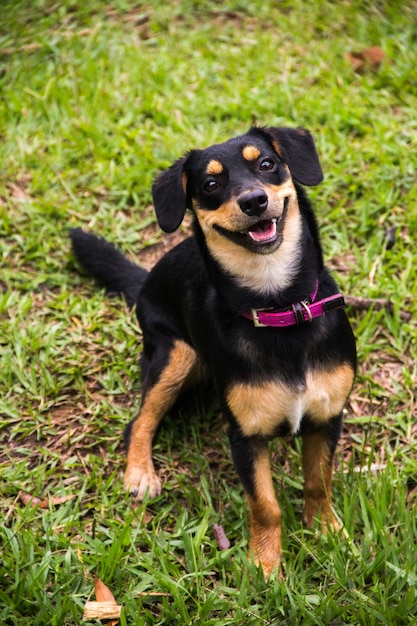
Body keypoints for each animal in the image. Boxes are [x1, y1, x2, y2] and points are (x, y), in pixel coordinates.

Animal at [70, 125, 356, 576]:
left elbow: (319, 482)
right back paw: (139, 473)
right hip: (175, 355)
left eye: (267, 164)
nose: (253, 200)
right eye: (209, 185)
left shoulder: (327, 416)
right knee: (140, 420)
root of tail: (146, 278)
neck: (278, 306)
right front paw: (266, 566)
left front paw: (328, 532)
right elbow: (266, 505)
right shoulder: (245, 435)